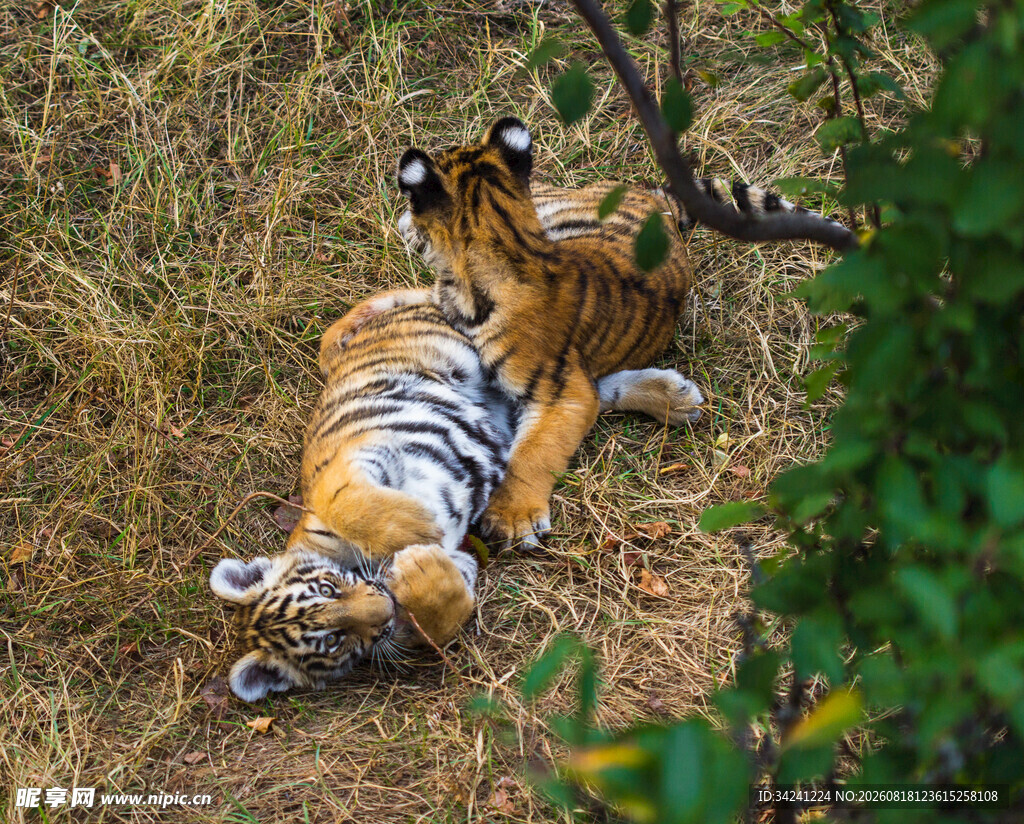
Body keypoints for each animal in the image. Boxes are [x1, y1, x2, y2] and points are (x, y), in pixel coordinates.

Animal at [210, 297, 703, 701]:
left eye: (328, 589)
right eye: (335, 640)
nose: (384, 605)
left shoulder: (351, 462)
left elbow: (349, 503)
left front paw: (418, 532)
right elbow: (444, 616)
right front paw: (423, 568)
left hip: (475, 351)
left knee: (571, 387)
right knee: (587, 393)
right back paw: (675, 399)